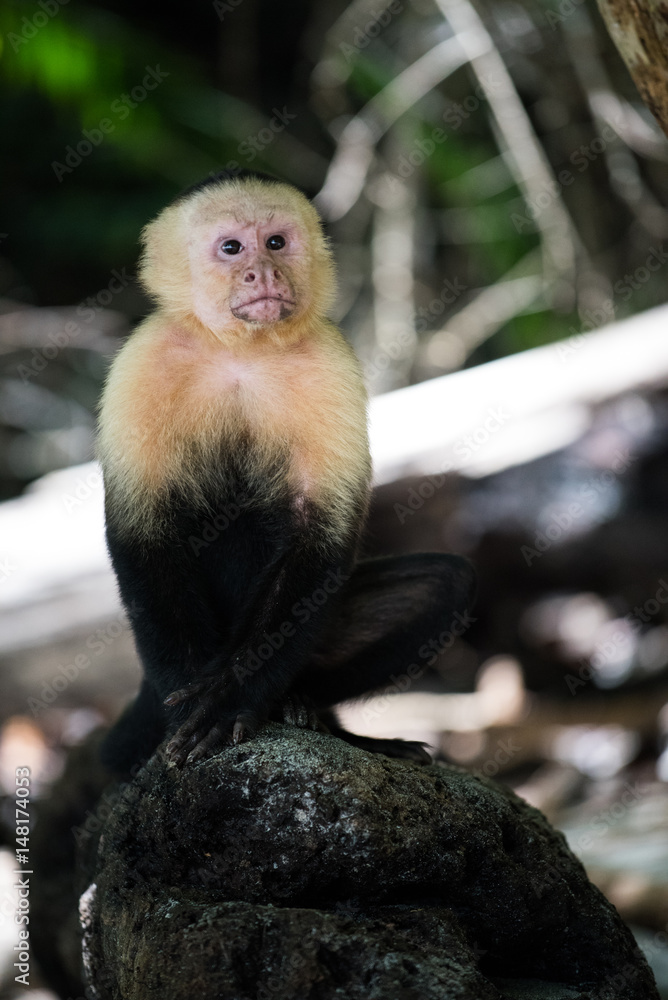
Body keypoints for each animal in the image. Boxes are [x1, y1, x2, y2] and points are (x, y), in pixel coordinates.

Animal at [97, 169, 476, 773]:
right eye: (232, 248)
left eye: (276, 242)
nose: (264, 272)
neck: (241, 352)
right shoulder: (142, 362)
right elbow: (145, 534)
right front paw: (187, 713)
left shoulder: (331, 362)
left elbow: (316, 535)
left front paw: (227, 701)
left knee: (443, 583)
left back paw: (314, 715)